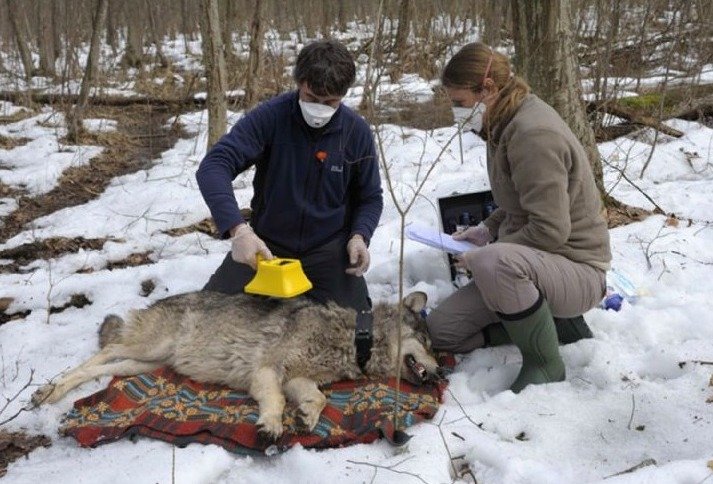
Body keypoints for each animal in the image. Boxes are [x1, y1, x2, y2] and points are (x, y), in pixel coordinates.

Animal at [32, 291, 440, 439]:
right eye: (428, 343)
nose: (440, 372)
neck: (354, 338)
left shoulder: (296, 378)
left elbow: (319, 398)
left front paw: (306, 417)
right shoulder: (267, 371)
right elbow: (275, 401)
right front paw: (272, 425)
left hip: (144, 364)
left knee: (102, 368)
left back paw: (53, 392)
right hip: (149, 346)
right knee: (104, 352)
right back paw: (47, 390)